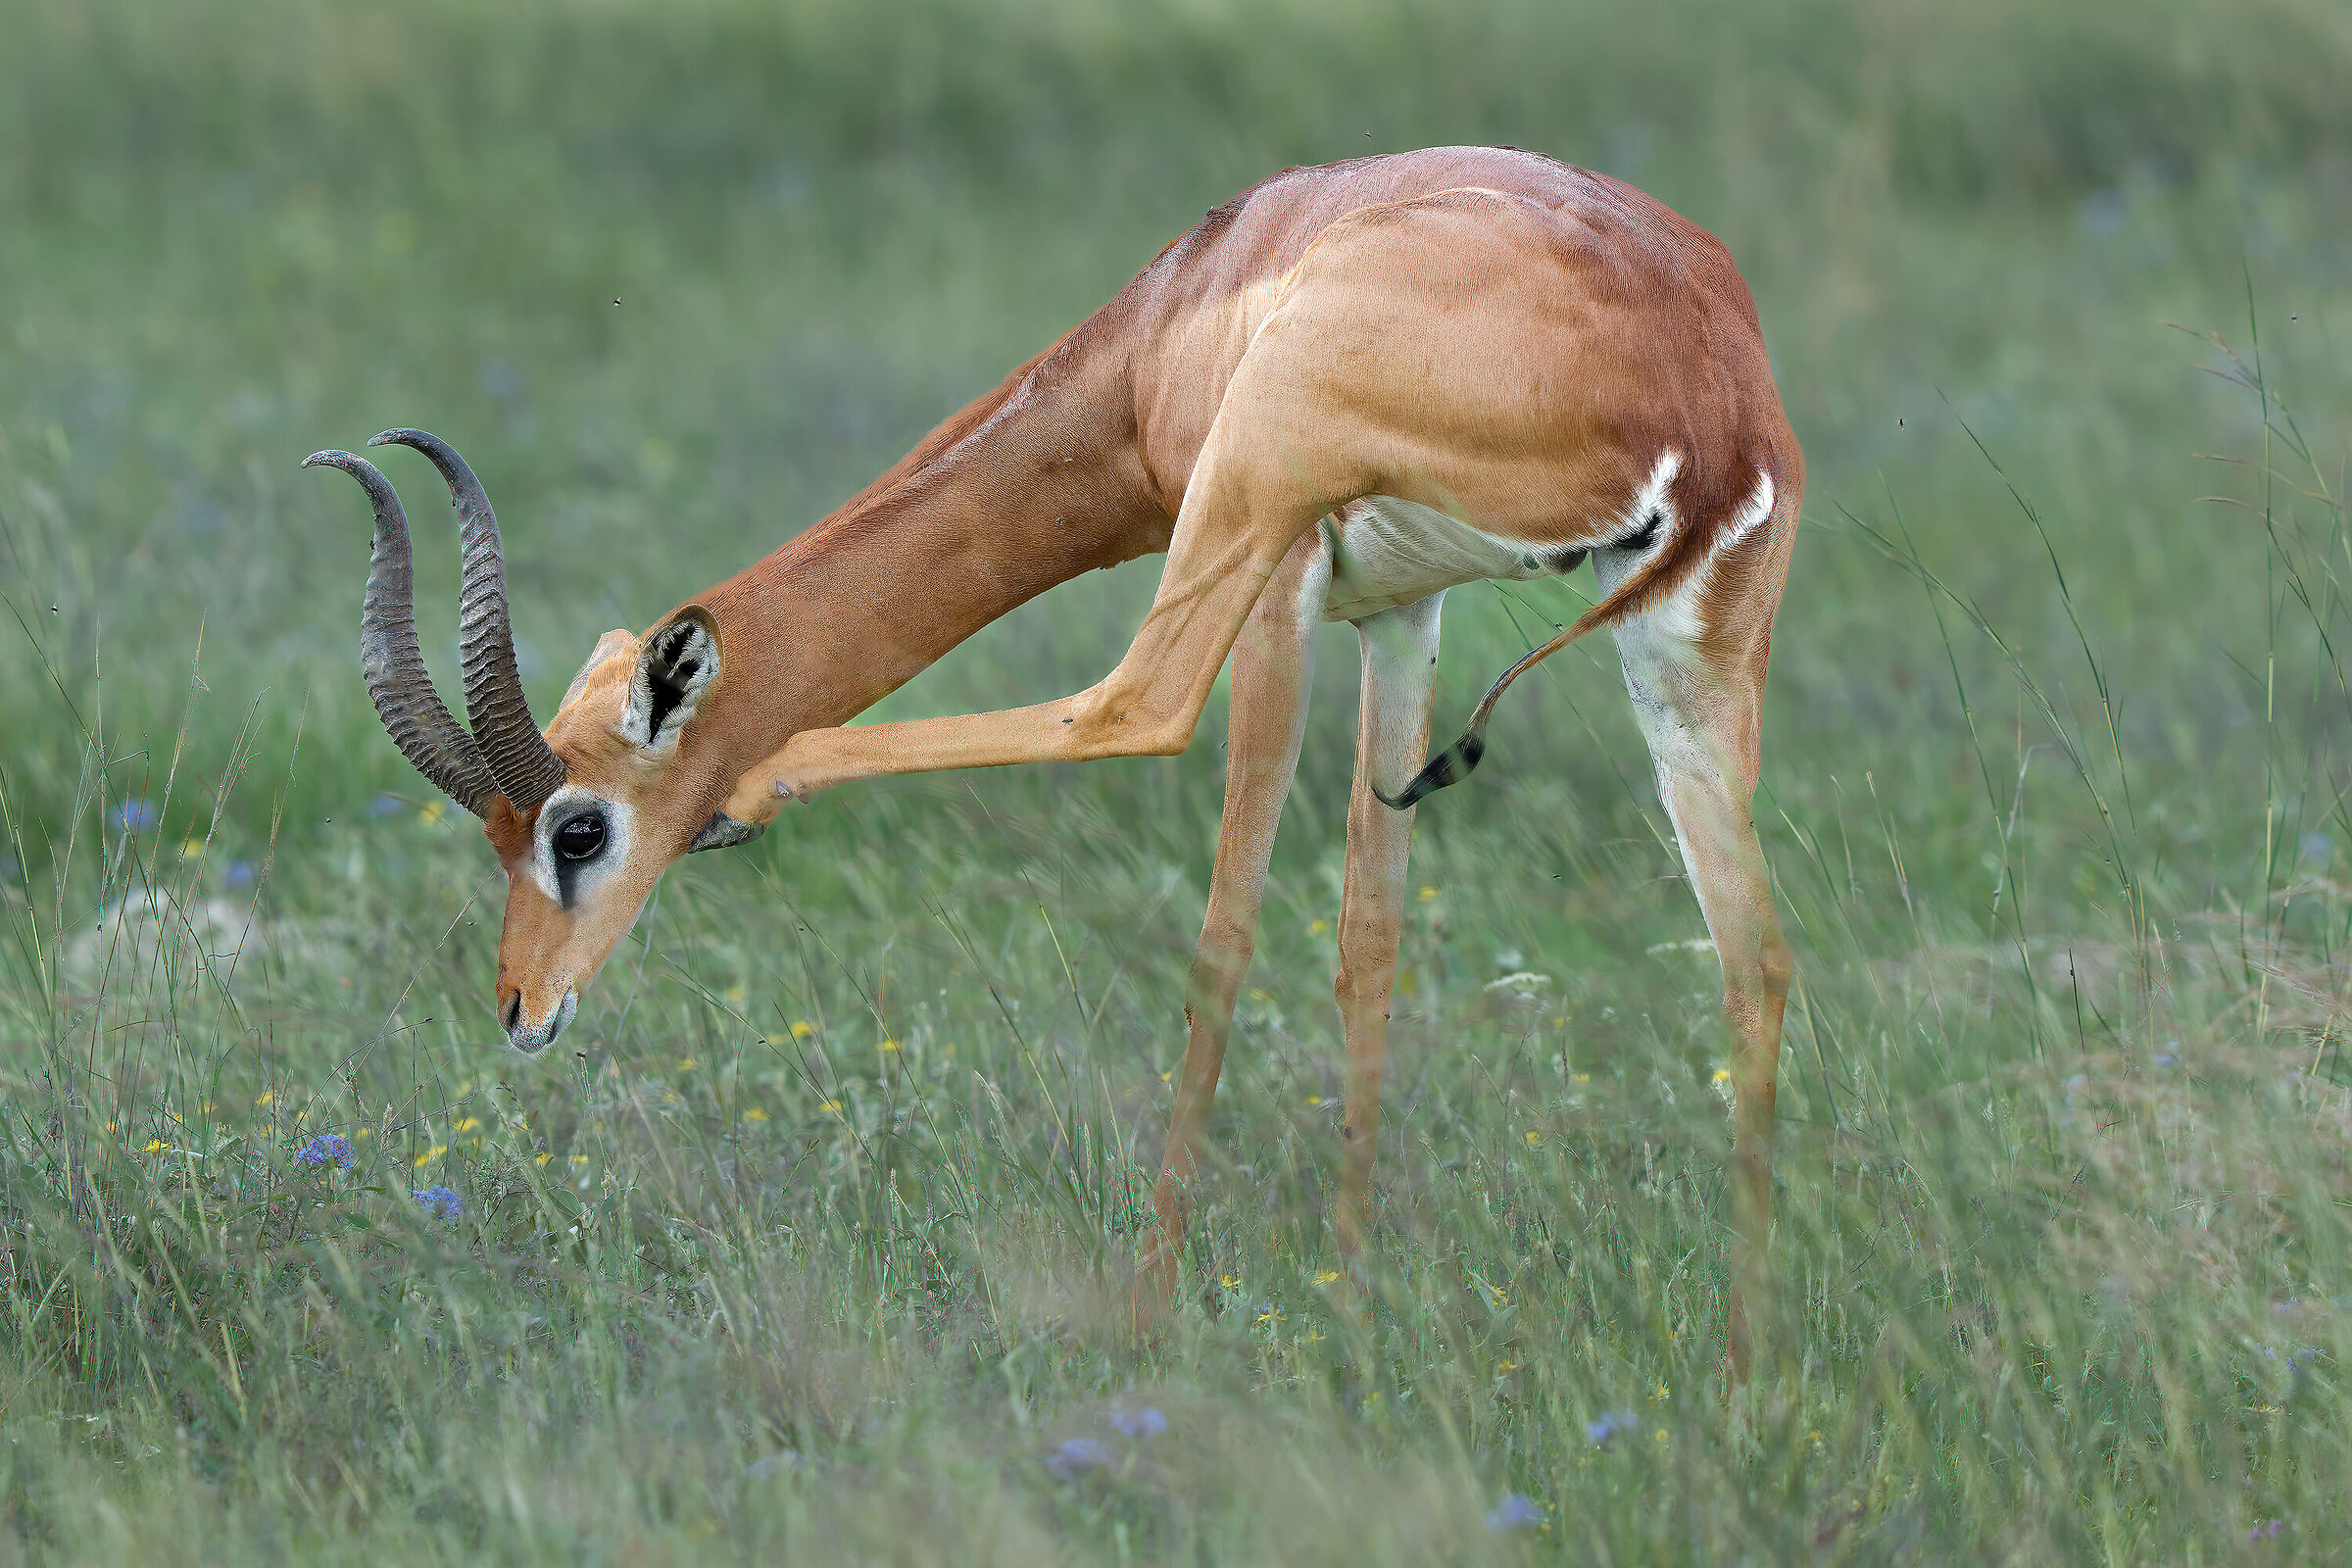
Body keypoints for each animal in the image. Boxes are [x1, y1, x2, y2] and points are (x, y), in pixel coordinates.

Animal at [307, 146, 1800, 1372]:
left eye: (575, 829)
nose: (521, 1007)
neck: (1172, 322)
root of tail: (1709, 395)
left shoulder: (1288, 584)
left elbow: (1228, 933)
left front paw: (1162, 1310)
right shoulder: (1402, 612)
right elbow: (1368, 944)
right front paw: (1353, 1303)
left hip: (1261, 514)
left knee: (1136, 711)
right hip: (1686, 661)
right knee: (1756, 955)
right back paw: (1744, 1378)